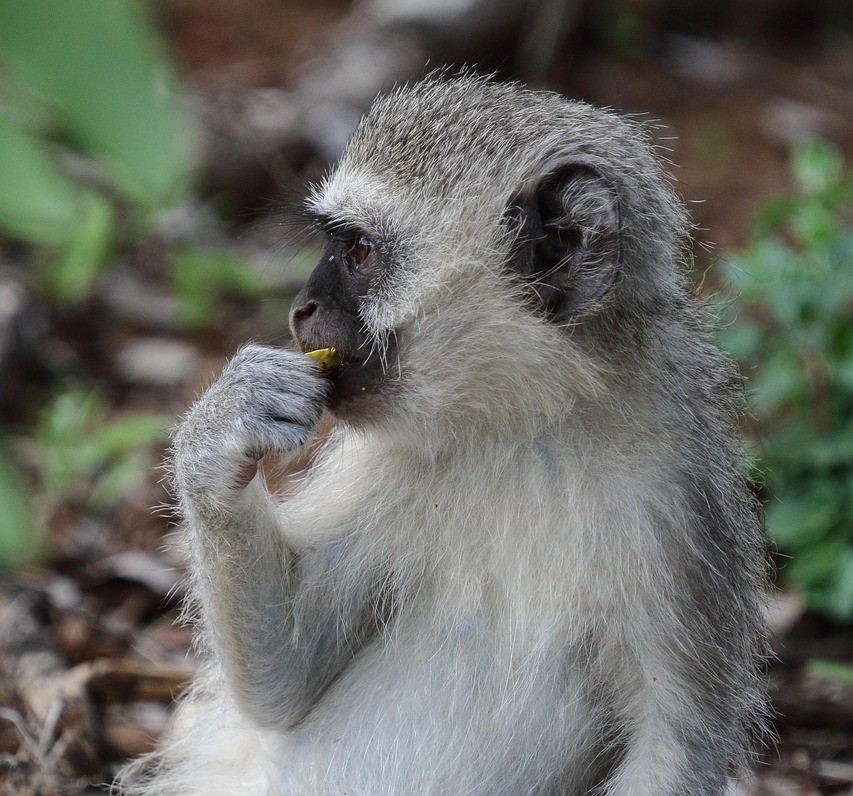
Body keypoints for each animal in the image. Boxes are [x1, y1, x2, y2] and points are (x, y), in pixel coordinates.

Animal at [119, 74, 769, 796]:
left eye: (359, 253)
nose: (299, 309)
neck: (529, 423)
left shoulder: (682, 498)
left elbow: (672, 740)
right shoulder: (378, 467)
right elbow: (286, 679)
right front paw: (226, 426)